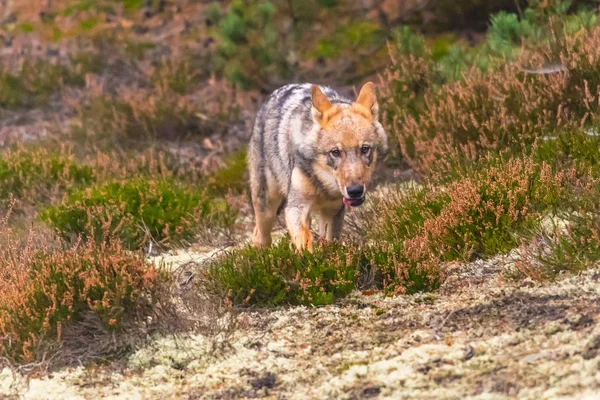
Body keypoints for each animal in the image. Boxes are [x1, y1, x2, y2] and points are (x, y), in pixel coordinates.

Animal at [248, 82, 390, 252]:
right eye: (335, 152)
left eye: (364, 149)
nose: (355, 191)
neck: (324, 186)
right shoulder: (295, 207)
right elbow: (304, 238)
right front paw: (308, 255)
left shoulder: (332, 210)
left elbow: (328, 242)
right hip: (267, 209)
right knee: (259, 236)